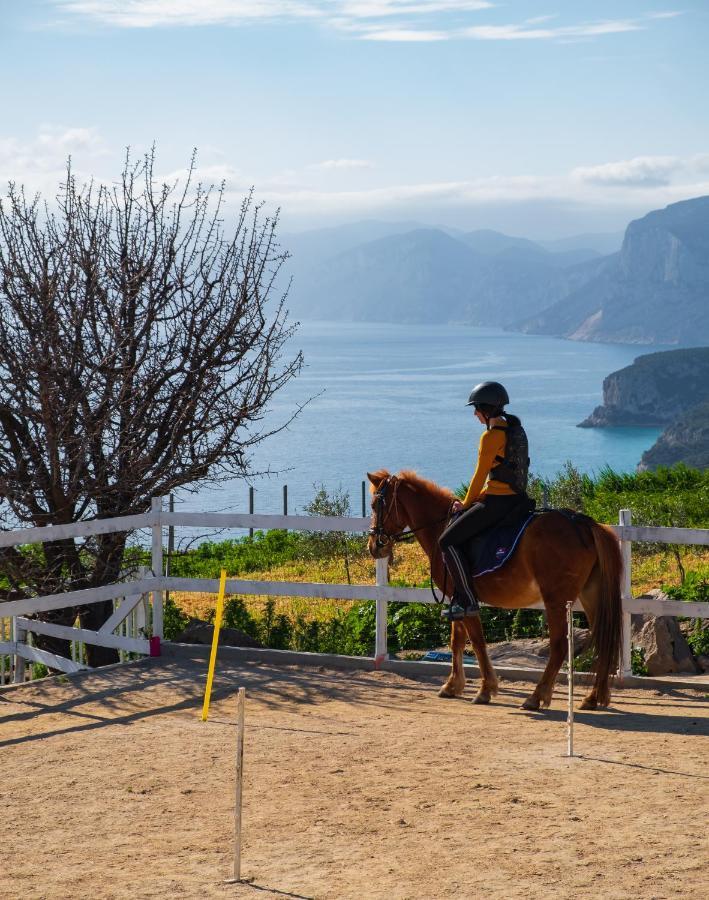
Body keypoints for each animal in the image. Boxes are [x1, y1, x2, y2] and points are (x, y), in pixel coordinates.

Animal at [368, 472, 624, 712]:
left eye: (374, 504)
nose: (374, 546)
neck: (440, 526)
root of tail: (583, 524)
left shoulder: (466, 600)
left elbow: (477, 642)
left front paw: (485, 689)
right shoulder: (457, 599)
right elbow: (456, 641)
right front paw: (453, 685)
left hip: (556, 599)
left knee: (560, 645)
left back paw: (536, 697)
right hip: (590, 595)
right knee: (602, 638)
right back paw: (594, 697)